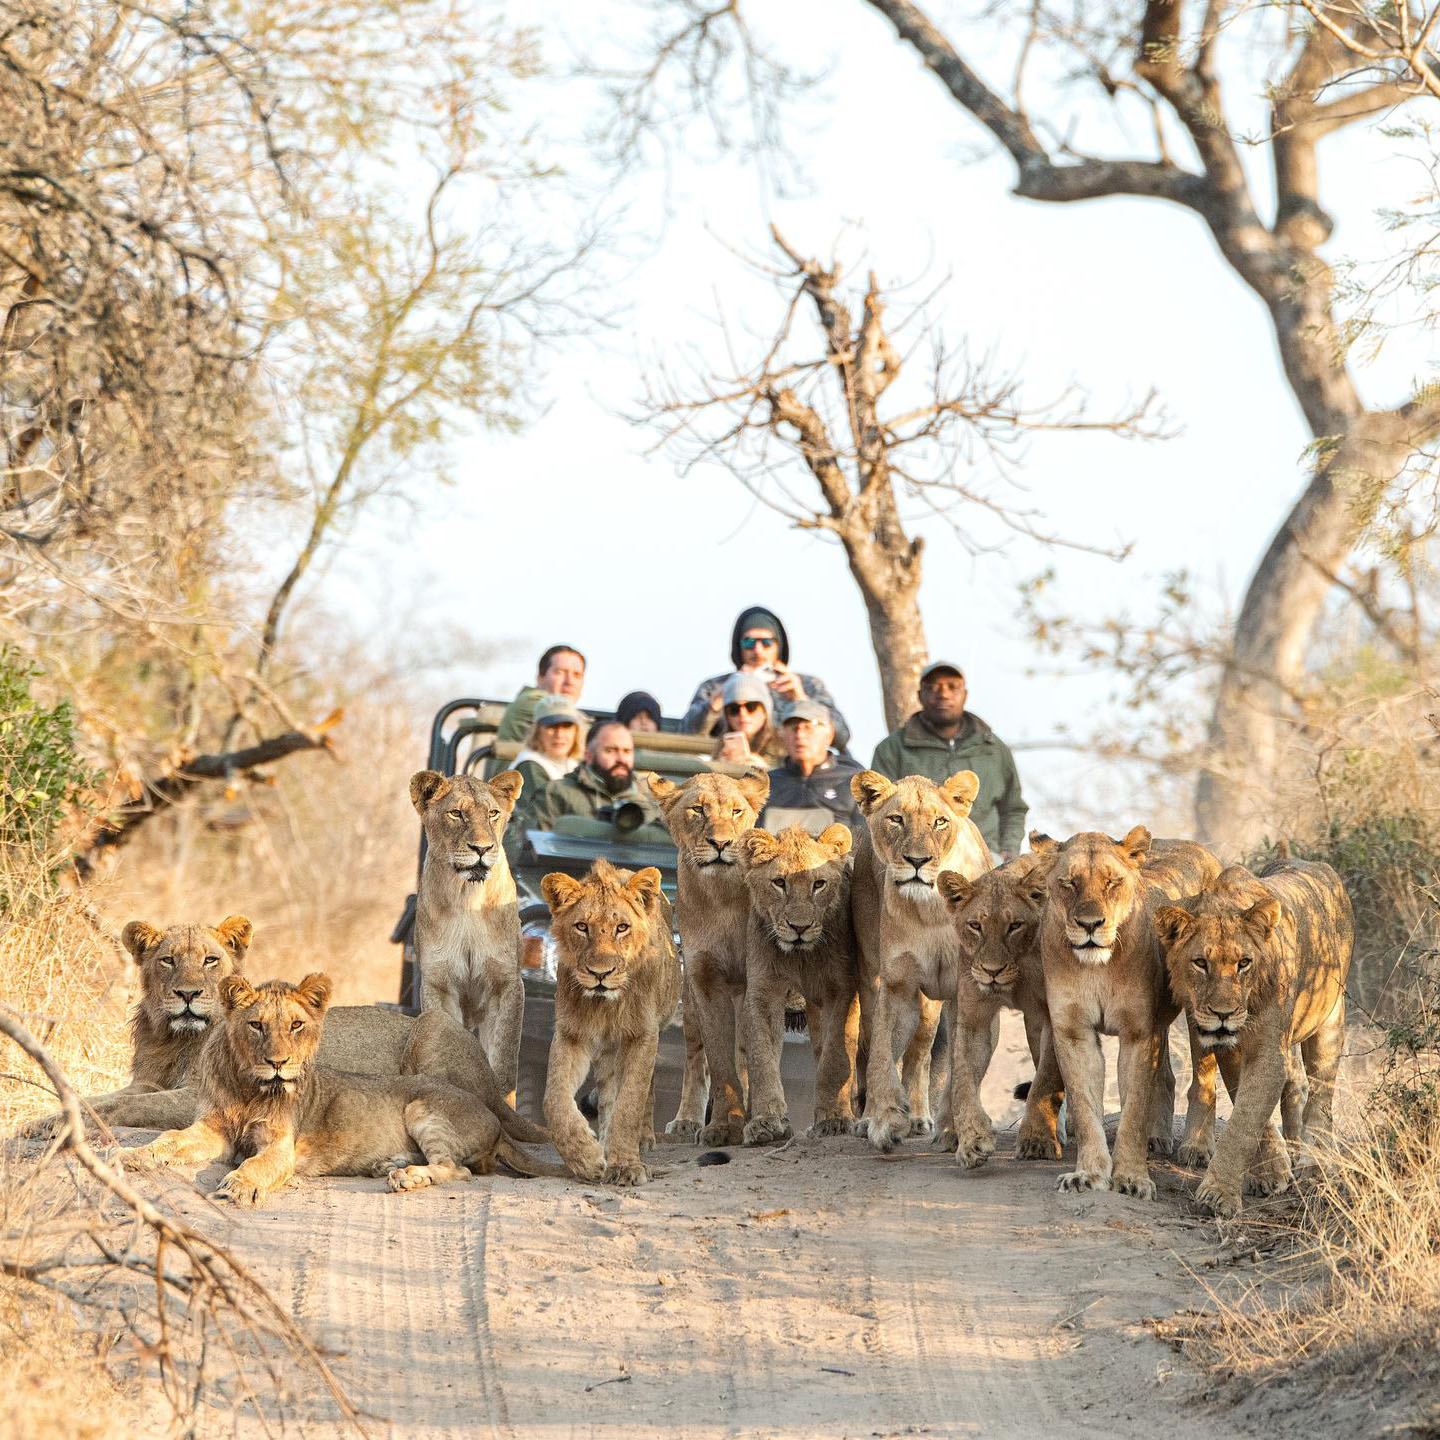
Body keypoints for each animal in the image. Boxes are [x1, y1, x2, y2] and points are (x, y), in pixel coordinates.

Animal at [128, 979, 555, 1203]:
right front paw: (132, 1156)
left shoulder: (280, 1147)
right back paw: (389, 1165)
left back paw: (406, 1177)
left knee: (459, 1169)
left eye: (296, 1025)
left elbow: (256, 1165)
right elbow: (169, 1138)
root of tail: (492, 1113)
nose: (278, 1062)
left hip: (423, 1104)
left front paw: (239, 1184)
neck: (248, 1087)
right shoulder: (213, 1130)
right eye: (256, 1025)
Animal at [541, 858, 679, 1186]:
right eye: (582, 927)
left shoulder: (643, 1034)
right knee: (606, 1093)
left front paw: (626, 1165)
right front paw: (586, 1158)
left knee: (644, 1088)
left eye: (622, 928)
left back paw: (642, 1139)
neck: (605, 1005)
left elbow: (630, 1102)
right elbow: (554, 1100)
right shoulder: (571, 1033)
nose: (600, 973)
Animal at [737, 829, 858, 1140]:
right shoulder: (764, 991)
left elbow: (835, 1056)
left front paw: (835, 1118)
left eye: (819, 884)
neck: (802, 956)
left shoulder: (842, 989)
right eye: (780, 882)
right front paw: (766, 1120)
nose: (799, 928)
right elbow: (762, 1057)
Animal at [1157, 852, 1347, 1215]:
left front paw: (1218, 1194)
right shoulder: (1231, 1048)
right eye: (1200, 963)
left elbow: (1245, 1120)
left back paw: (1314, 1164)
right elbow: (1249, 1110)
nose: (1223, 1014)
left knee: (1321, 1091)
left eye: (1244, 963)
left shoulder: (1268, 1048)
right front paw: (1270, 1173)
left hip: (1330, 1017)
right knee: (1290, 1085)